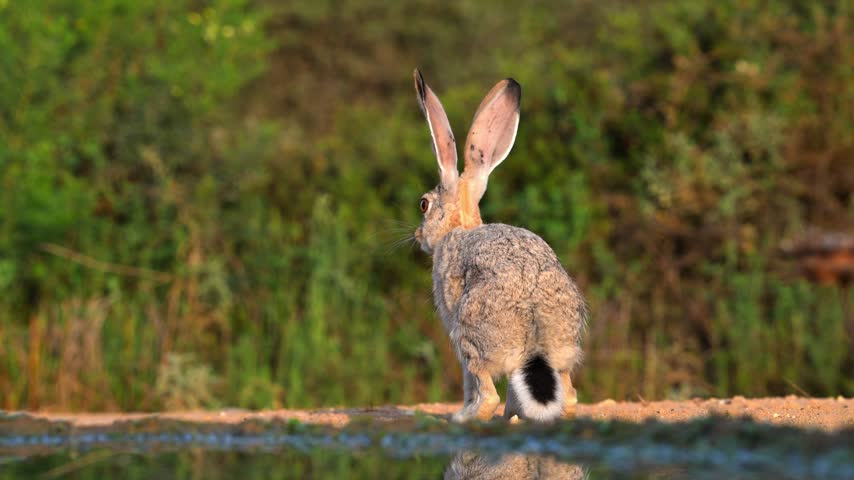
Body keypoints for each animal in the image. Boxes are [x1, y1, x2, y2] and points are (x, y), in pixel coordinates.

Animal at [412, 69, 587, 423]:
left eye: (424, 204)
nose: (418, 235)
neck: (460, 226)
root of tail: (536, 325)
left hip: (469, 336)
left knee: (487, 391)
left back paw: (462, 418)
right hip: (561, 352)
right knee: (570, 395)